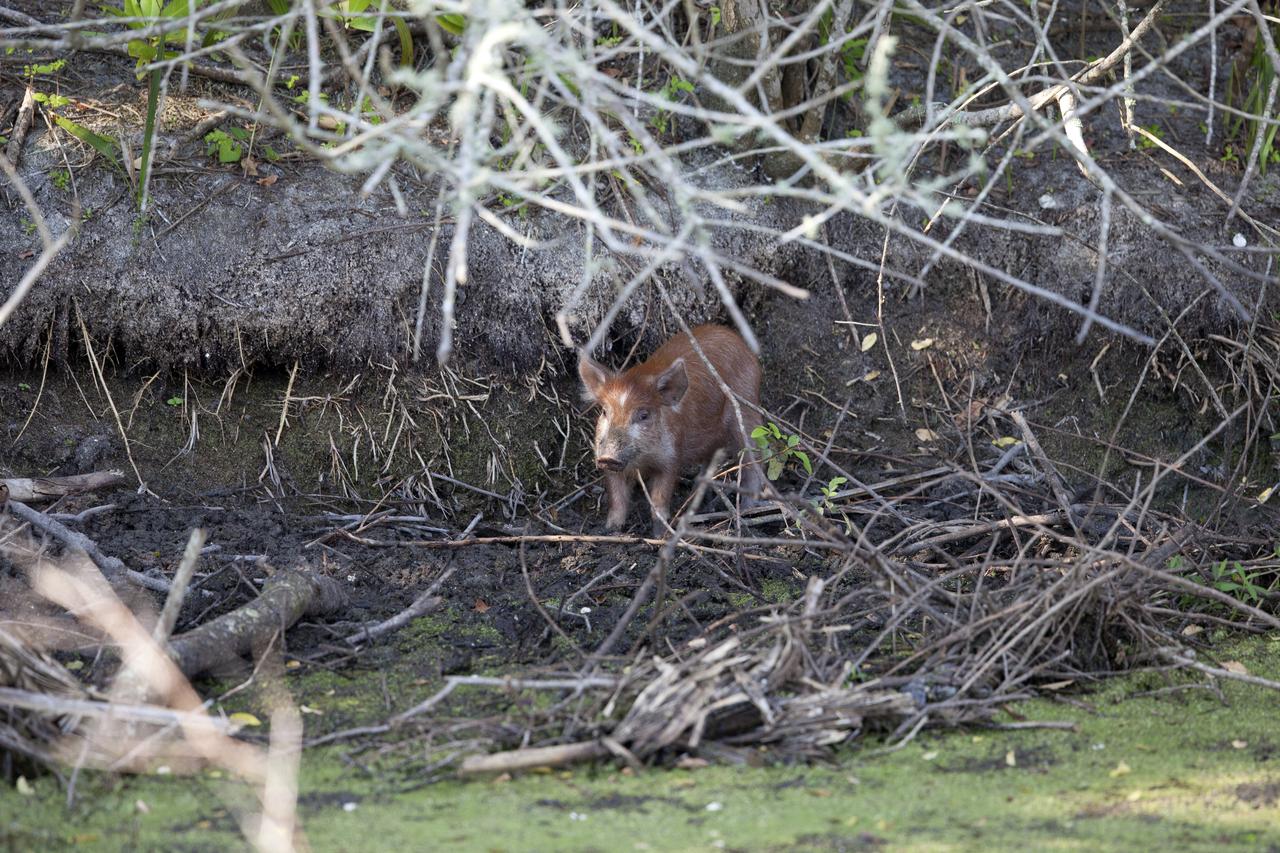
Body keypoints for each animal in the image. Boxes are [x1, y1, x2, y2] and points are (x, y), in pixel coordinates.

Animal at [578, 324, 763, 533]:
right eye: (604, 412)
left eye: (644, 415)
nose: (608, 458)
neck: (642, 460)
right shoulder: (610, 464)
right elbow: (617, 499)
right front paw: (611, 529)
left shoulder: (671, 456)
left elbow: (660, 498)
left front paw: (660, 533)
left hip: (746, 408)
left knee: (753, 457)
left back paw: (747, 510)